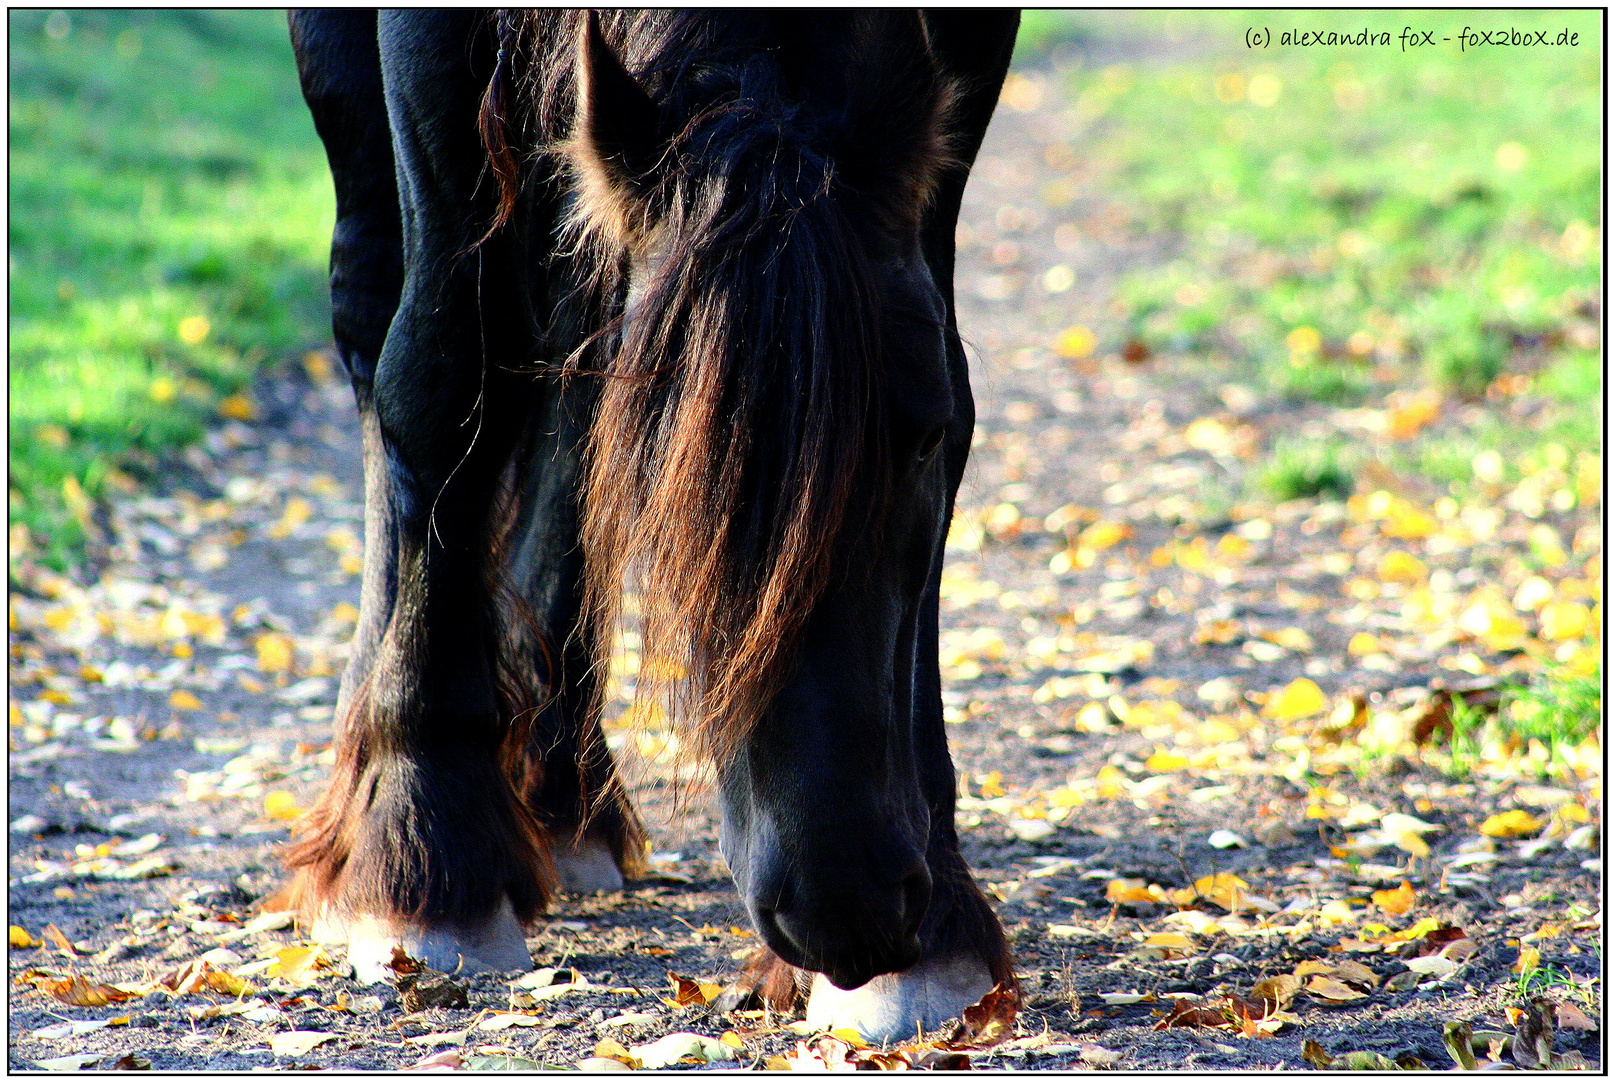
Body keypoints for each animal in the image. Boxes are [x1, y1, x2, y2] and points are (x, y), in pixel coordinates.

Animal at [284, 6, 1017, 1036]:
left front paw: (937, 927)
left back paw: (559, 789)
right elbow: (441, 368)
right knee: (379, 302)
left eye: (923, 440)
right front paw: (426, 857)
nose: (852, 906)